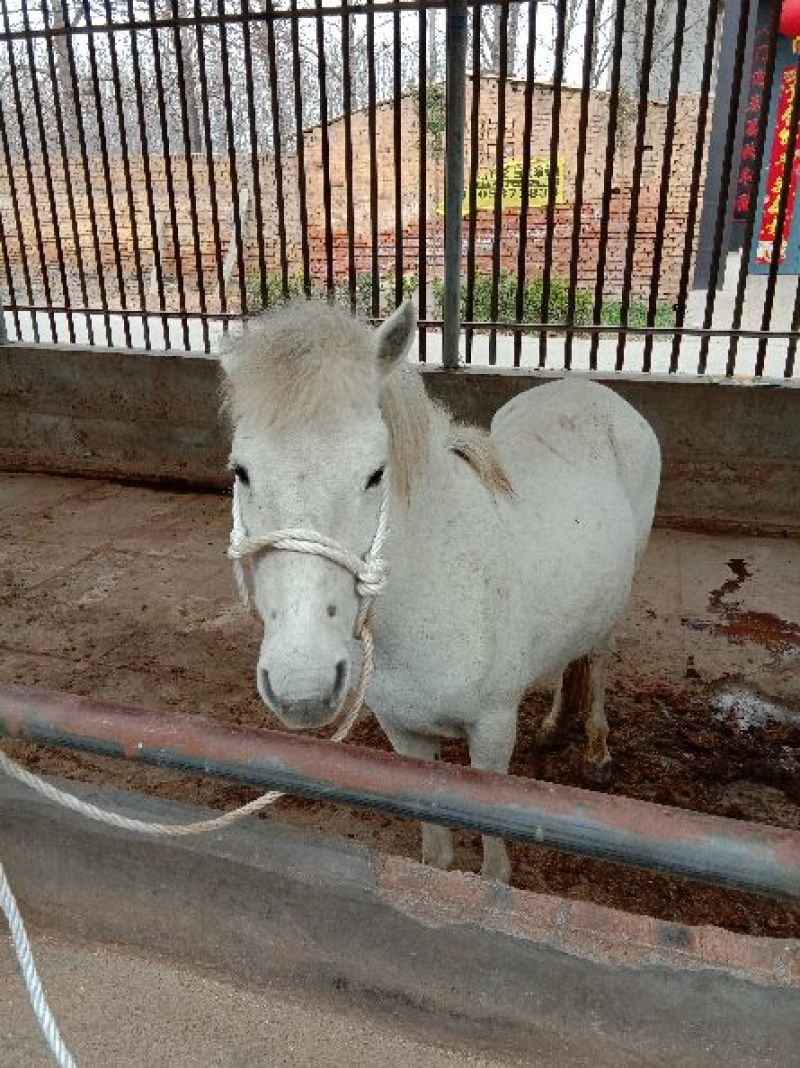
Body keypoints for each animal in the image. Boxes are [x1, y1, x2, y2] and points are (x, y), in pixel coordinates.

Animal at [220, 298, 661, 882]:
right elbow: (437, 856)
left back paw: (595, 753)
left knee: (598, 657)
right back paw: (553, 726)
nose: (302, 686)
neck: (437, 592)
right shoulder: (404, 735)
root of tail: (591, 389)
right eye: (241, 470)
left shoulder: (492, 734)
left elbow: (493, 869)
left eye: (375, 473)